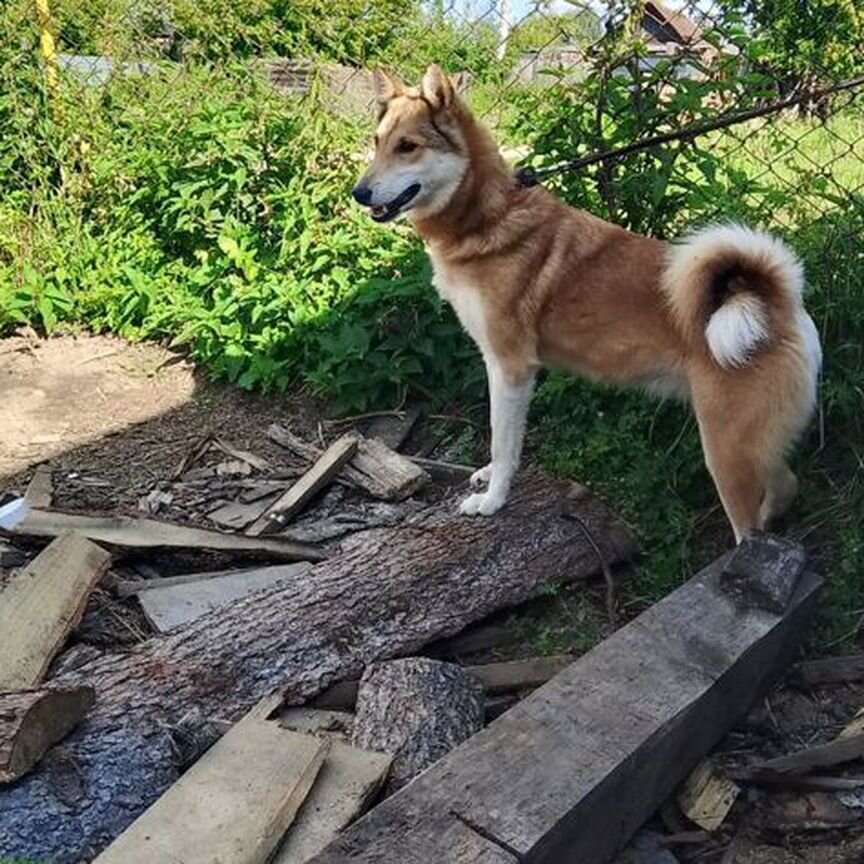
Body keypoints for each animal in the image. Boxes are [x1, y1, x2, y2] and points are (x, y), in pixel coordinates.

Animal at [350, 66, 816, 540]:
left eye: (408, 147)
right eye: (377, 141)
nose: (359, 193)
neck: (488, 216)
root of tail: (776, 301)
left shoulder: (511, 368)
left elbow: (503, 443)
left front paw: (494, 500)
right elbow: (500, 438)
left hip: (726, 452)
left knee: (752, 520)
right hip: (751, 448)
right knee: (786, 482)